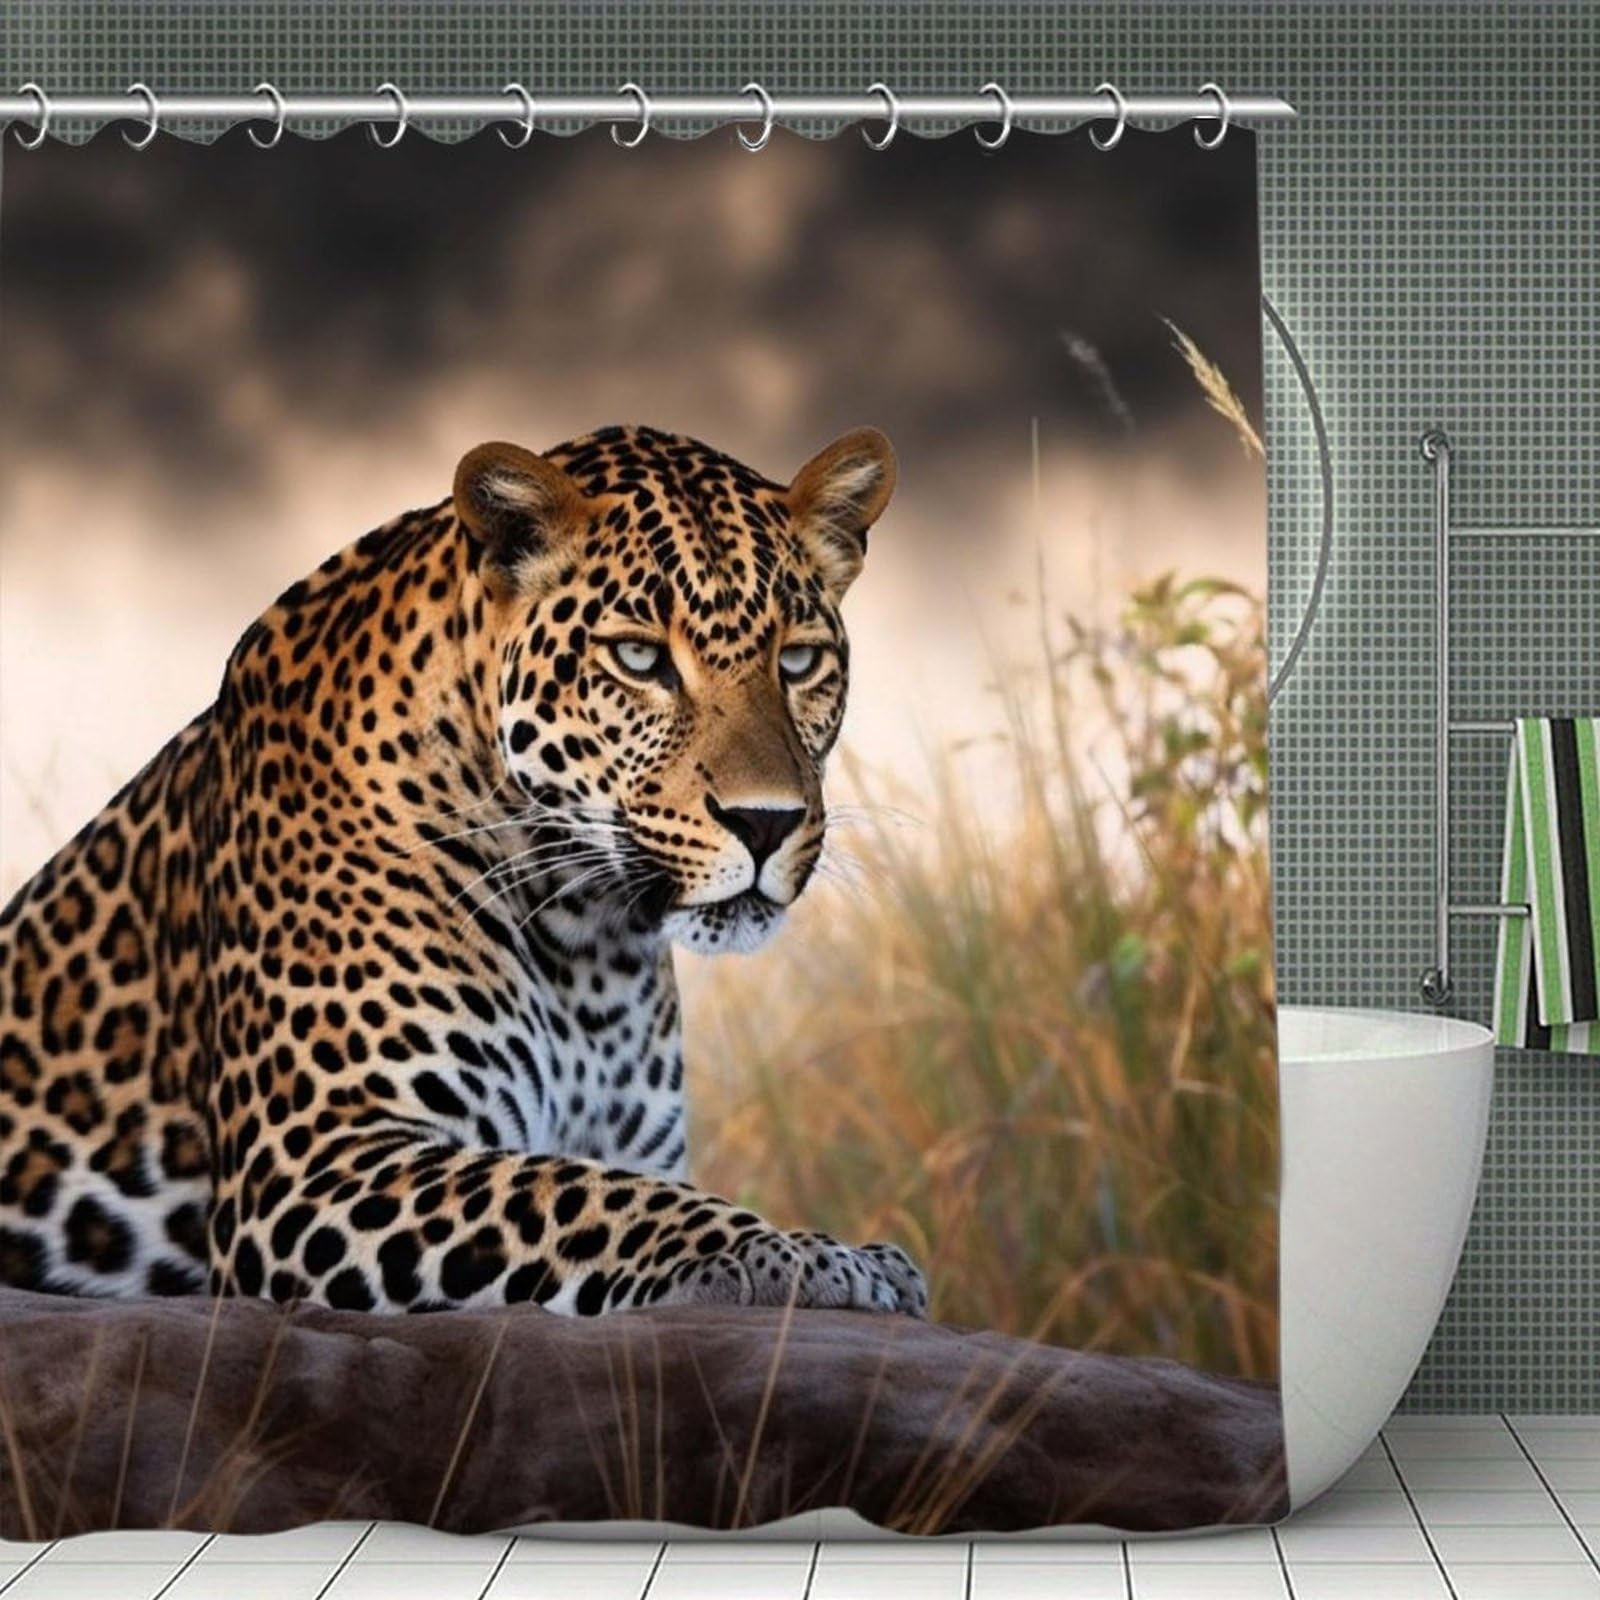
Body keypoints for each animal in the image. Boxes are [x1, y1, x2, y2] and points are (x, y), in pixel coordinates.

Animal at [0, 424, 927, 1318]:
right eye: (639, 658)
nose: (766, 822)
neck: (588, 939)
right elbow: (580, 1195)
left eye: (799, 662)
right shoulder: (315, 1164)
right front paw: (801, 1254)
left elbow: (602, 1182)